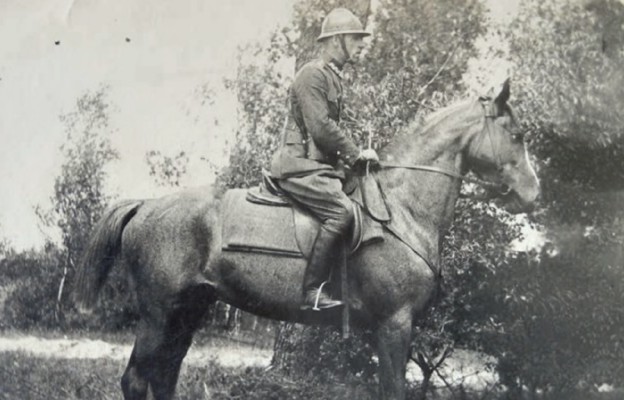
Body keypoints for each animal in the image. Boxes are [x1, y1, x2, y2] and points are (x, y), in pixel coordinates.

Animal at [74, 79, 540, 398]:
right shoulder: (395, 323)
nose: (532, 195)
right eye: (517, 135)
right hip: (159, 314)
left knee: (164, 376)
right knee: (137, 380)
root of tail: (146, 204)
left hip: (187, 311)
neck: (402, 207)